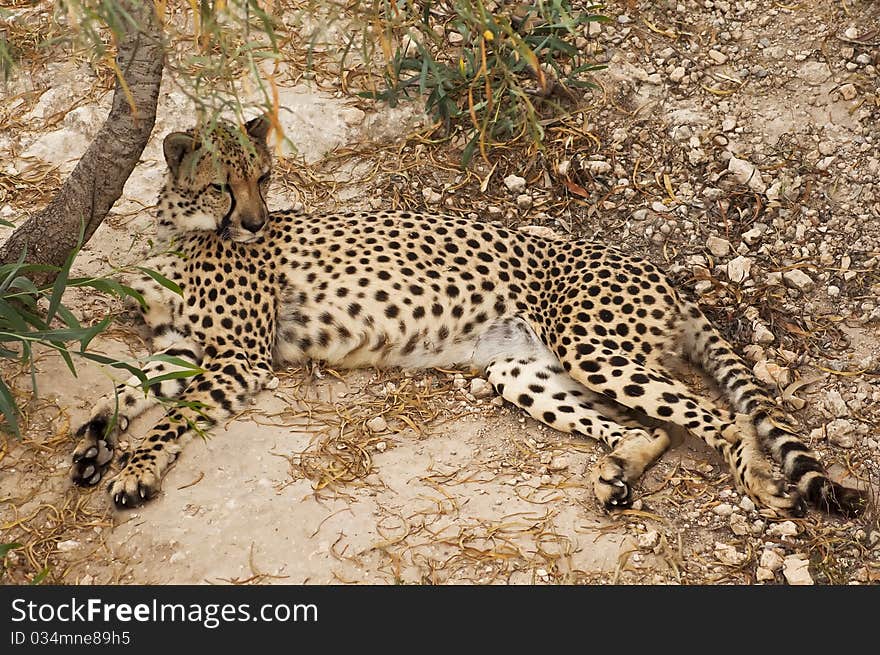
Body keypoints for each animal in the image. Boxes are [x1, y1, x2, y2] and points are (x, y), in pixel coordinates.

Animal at [70, 116, 868, 516]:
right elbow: (121, 390)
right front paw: (93, 442)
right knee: (648, 429)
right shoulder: (181, 349)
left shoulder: (237, 360)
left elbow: (168, 423)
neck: (178, 230)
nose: (256, 223)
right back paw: (616, 475)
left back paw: (760, 483)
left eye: (262, 177)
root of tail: (660, 273)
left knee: (721, 417)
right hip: (521, 368)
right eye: (220, 185)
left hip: (591, 346)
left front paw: (133, 471)